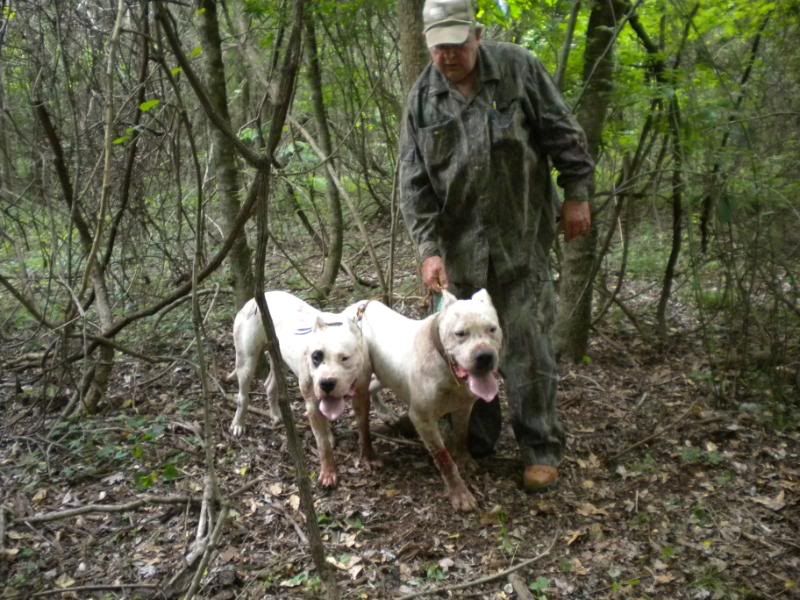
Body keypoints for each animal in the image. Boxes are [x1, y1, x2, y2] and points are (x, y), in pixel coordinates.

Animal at [230, 290, 376, 488]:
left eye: (344, 358)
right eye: (316, 356)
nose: (326, 383)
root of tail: (255, 299)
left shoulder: (361, 396)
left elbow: (363, 427)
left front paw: (368, 456)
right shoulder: (312, 405)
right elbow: (322, 445)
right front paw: (328, 472)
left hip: (278, 358)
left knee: (270, 384)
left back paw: (276, 415)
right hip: (246, 360)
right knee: (243, 395)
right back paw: (238, 424)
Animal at [346, 290, 504, 510]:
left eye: (492, 329)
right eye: (460, 333)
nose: (485, 357)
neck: (446, 366)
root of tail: (354, 308)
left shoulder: (464, 408)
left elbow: (461, 435)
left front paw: (464, 459)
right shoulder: (422, 419)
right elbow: (443, 458)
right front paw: (459, 493)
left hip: (384, 374)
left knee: (373, 386)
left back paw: (384, 411)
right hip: (361, 378)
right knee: (362, 419)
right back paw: (368, 454)